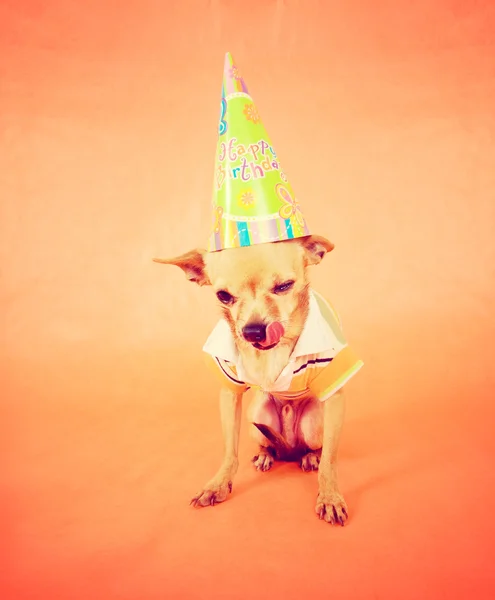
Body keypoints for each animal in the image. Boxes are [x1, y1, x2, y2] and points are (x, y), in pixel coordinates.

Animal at [155, 234, 364, 524]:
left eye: (285, 286)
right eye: (223, 296)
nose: (252, 331)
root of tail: (289, 447)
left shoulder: (335, 396)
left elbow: (330, 462)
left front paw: (330, 496)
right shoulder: (229, 394)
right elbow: (229, 451)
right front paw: (218, 484)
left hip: (314, 423)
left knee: (316, 448)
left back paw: (310, 457)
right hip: (257, 417)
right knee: (269, 444)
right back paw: (266, 455)